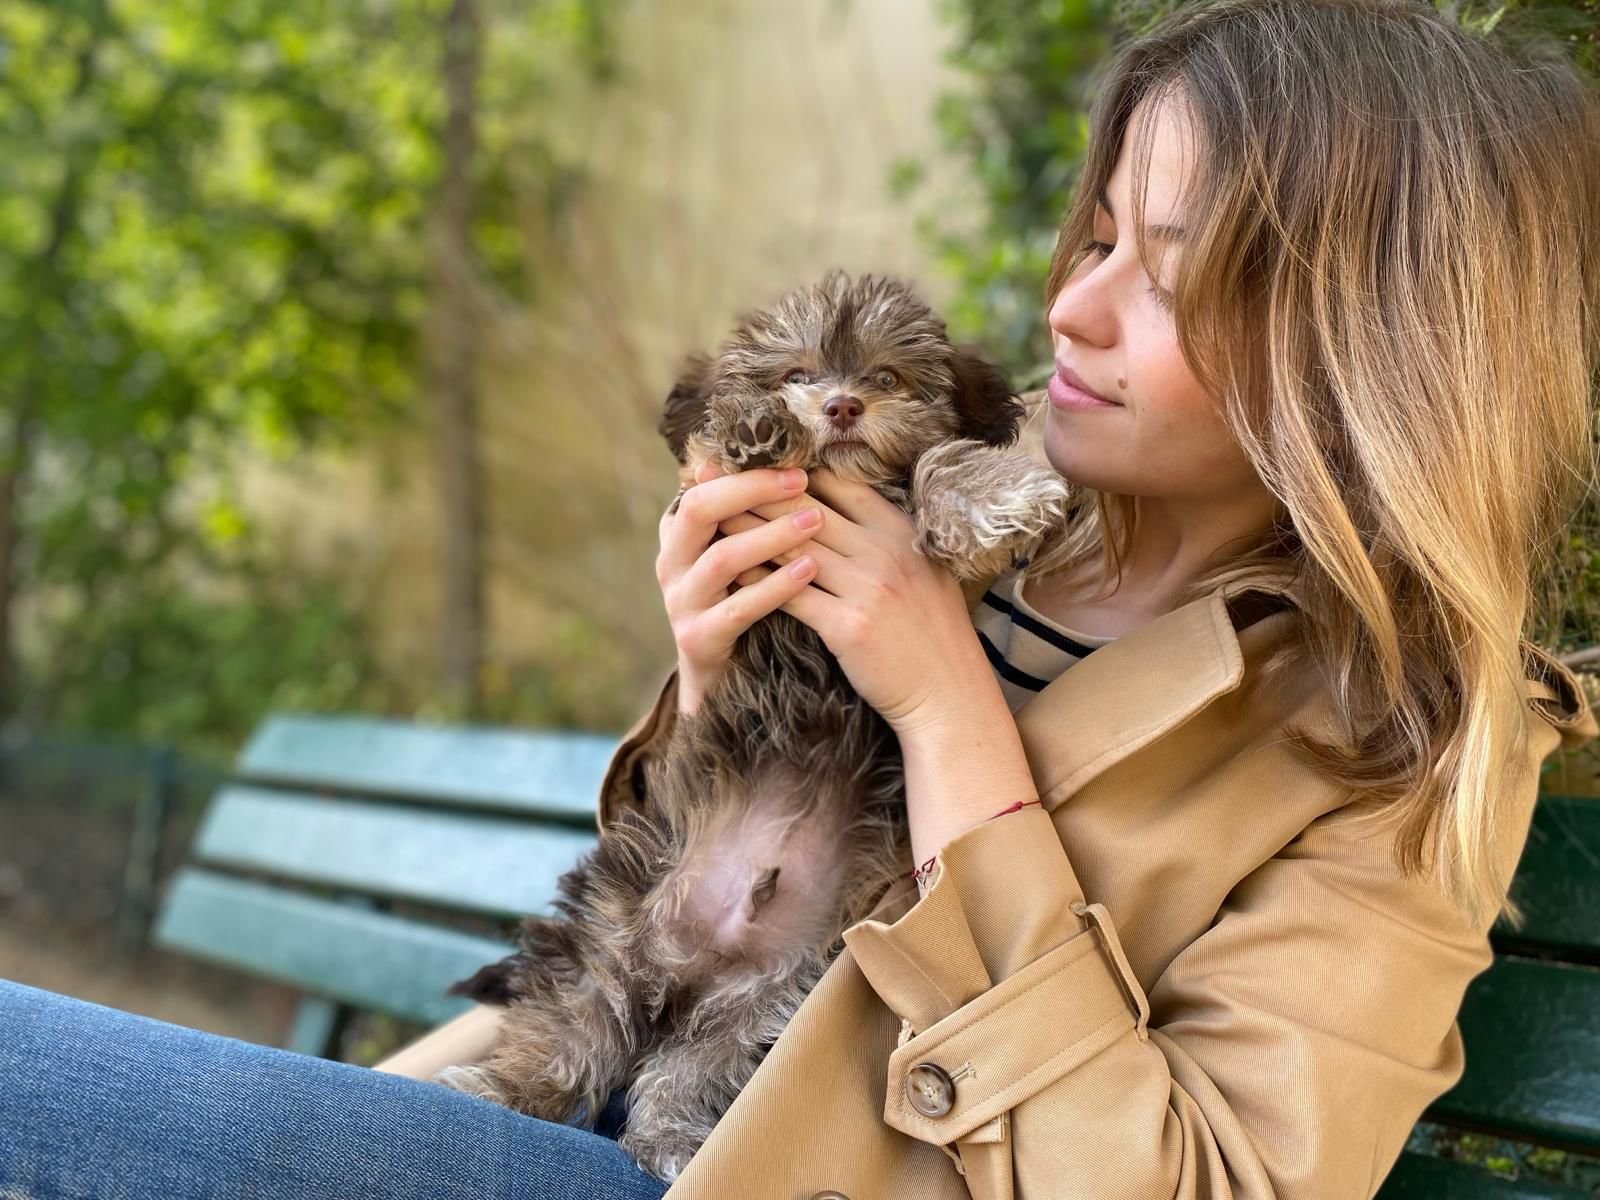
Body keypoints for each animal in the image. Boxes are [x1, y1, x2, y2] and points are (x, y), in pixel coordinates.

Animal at [435, 270, 1075, 1184]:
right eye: (797, 373)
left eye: (885, 377)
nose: (838, 406)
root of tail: (678, 973)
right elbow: (724, 444)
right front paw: (756, 426)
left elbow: (933, 465)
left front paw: (992, 495)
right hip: (603, 945)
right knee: (568, 1043)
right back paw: (500, 1090)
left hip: (755, 1007)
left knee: (676, 1073)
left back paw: (669, 1142)